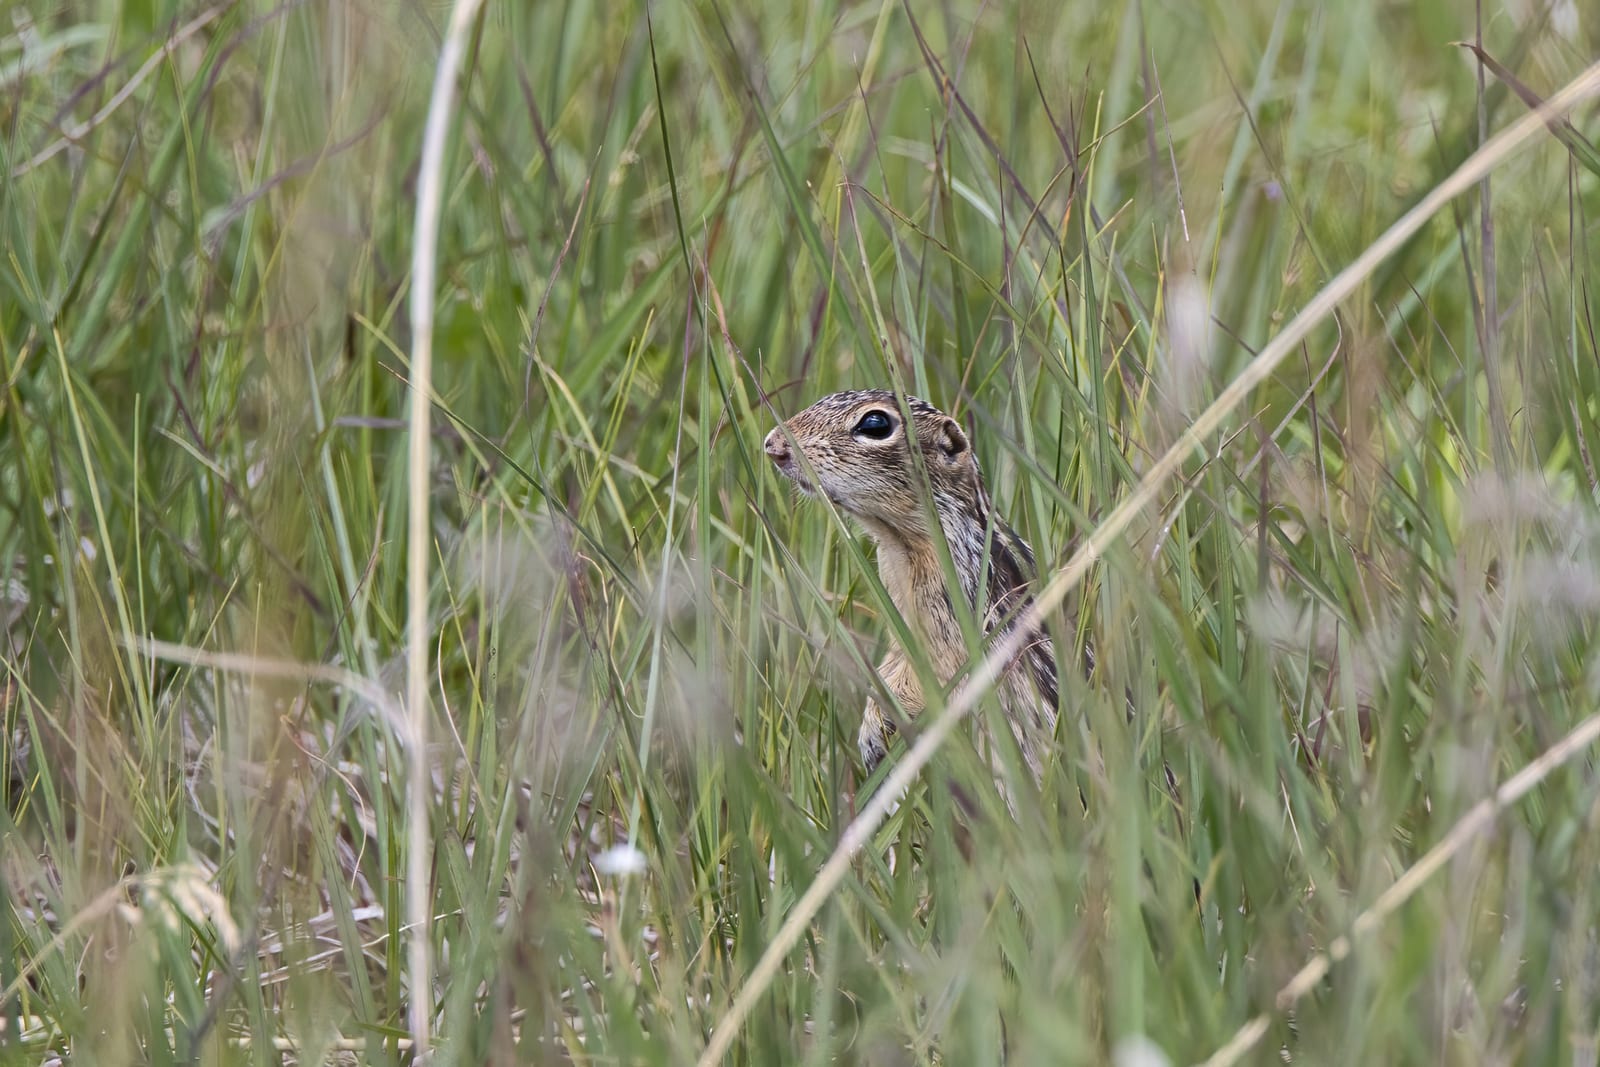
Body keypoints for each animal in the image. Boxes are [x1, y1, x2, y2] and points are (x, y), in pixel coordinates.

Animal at [763, 389, 1060, 782]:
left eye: (875, 423)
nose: (773, 445)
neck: (899, 542)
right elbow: (895, 658)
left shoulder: (955, 612)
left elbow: (938, 674)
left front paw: (876, 728)